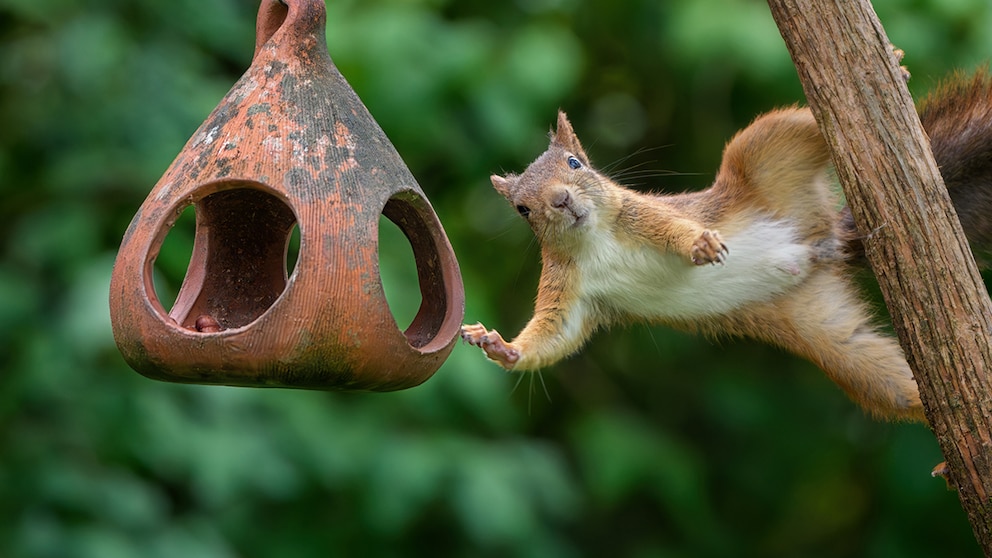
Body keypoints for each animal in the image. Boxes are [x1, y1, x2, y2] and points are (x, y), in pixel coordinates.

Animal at [461, 70, 992, 423]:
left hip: (764, 151)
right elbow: (555, 334)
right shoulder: (569, 290)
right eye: (522, 209)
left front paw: (698, 244)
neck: (592, 241)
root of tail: (823, 243)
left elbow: (674, 230)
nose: (562, 200)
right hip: (825, 332)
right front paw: (500, 347)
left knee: (807, 126)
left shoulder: (642, 215)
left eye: (575, 163)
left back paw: (893, 69)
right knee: (882, 378)